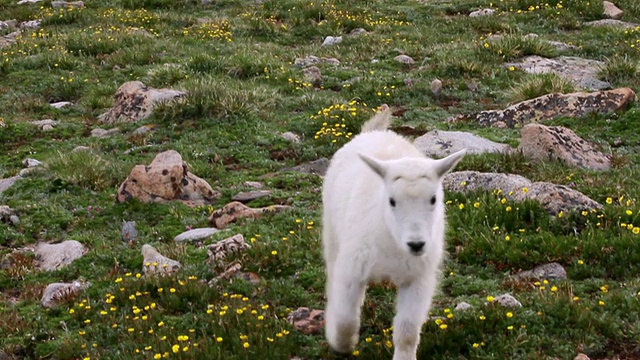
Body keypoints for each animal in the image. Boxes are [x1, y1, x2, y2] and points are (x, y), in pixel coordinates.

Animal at [320, 109, 464, 360]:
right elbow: (346, 319)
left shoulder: (419, 277)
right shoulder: (352, 268)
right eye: (392, 201)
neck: (392, 242)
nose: (416, 244)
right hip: (332, 235)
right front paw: (342, 344)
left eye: (433, 199)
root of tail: (373, 132)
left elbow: (407, 330)